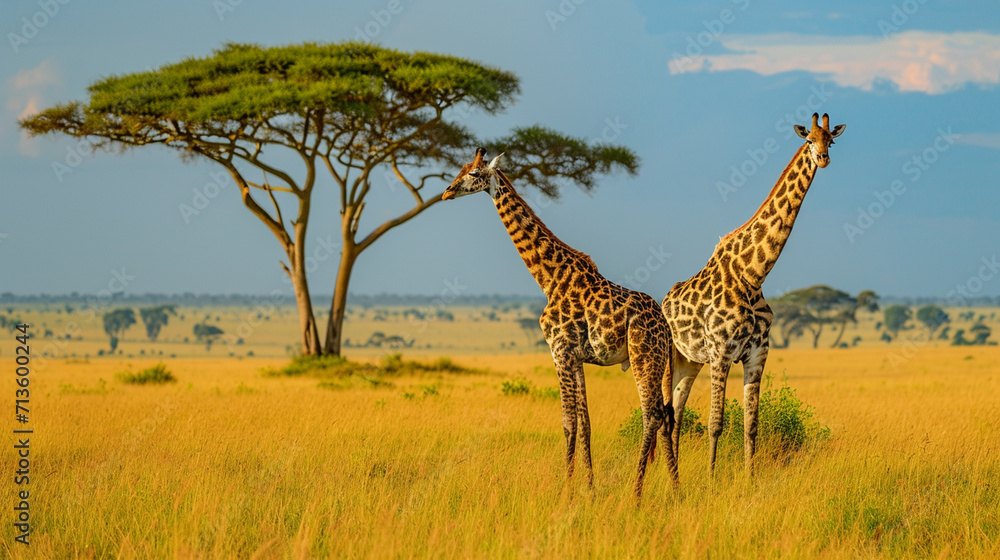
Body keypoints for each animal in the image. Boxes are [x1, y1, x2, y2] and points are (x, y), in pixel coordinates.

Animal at [442, 148, 676, 497]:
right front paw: (590, 488)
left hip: (643, 356)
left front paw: (565, 490)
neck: (549, 279)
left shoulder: (559, 350)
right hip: (659, 361)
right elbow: (586, 424)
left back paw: (635, 494)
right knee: (667, 415)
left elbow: (568, 424)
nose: (446, 192)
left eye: (472, 173)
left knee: (651, 415)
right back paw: (676, 489)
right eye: (461, 168)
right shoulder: (576, 357)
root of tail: (666, 328)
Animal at [662, 113, 845, 474]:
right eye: (808, 140)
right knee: (659, 410)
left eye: (831, 140)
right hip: (668, 356)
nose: (823, 159)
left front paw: (750, 478)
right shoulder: (721, 352)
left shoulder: (758, 353)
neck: (753, 274)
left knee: (676, 410)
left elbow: (751, 424)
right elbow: (715, 423)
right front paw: (710, 480)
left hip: (690, 361)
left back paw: (672, 474)